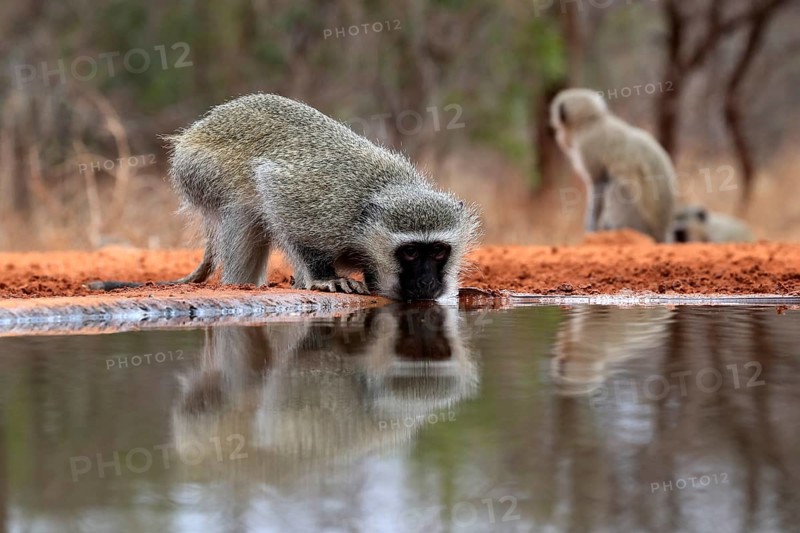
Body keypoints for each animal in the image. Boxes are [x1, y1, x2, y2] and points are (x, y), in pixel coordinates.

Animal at [88, 94, 481, 301]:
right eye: (411, 252)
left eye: (439, 251)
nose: (428, 283)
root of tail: (196, 130)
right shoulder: (321, 205)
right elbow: (277, 200)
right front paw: (323, 278)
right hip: (198, 169)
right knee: (245, 211)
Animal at [550, 88, 676, 242]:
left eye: (559, 128)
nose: (559, 136)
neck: (592, 123)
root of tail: (660, 233)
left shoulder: (587, 146)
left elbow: (598, 184)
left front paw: (591, 229)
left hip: (638, 221)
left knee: (614, 184)